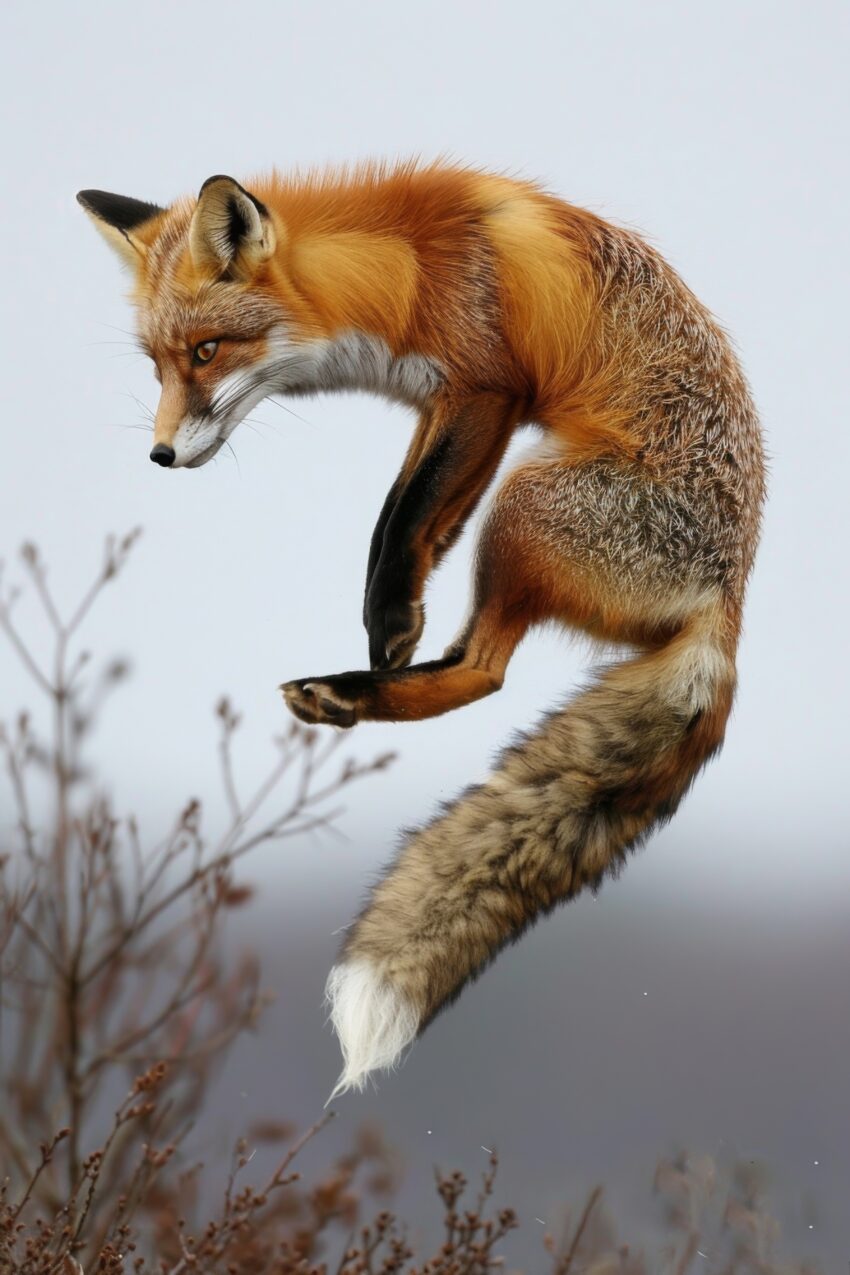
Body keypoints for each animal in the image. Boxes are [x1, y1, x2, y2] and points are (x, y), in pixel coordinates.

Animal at [78, 161, 765, 1096]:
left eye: (208, 351)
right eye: (157, 363)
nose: (160, 455)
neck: (404, 267)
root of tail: (725, 601)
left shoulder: (483, 387)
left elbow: (402, 520)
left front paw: (390, 620)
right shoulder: (439, 405)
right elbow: (403, 524)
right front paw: (397, 610)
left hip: (523, 504)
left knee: (484, 670)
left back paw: (352, 688)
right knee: (479, 663)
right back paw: (355, 690)